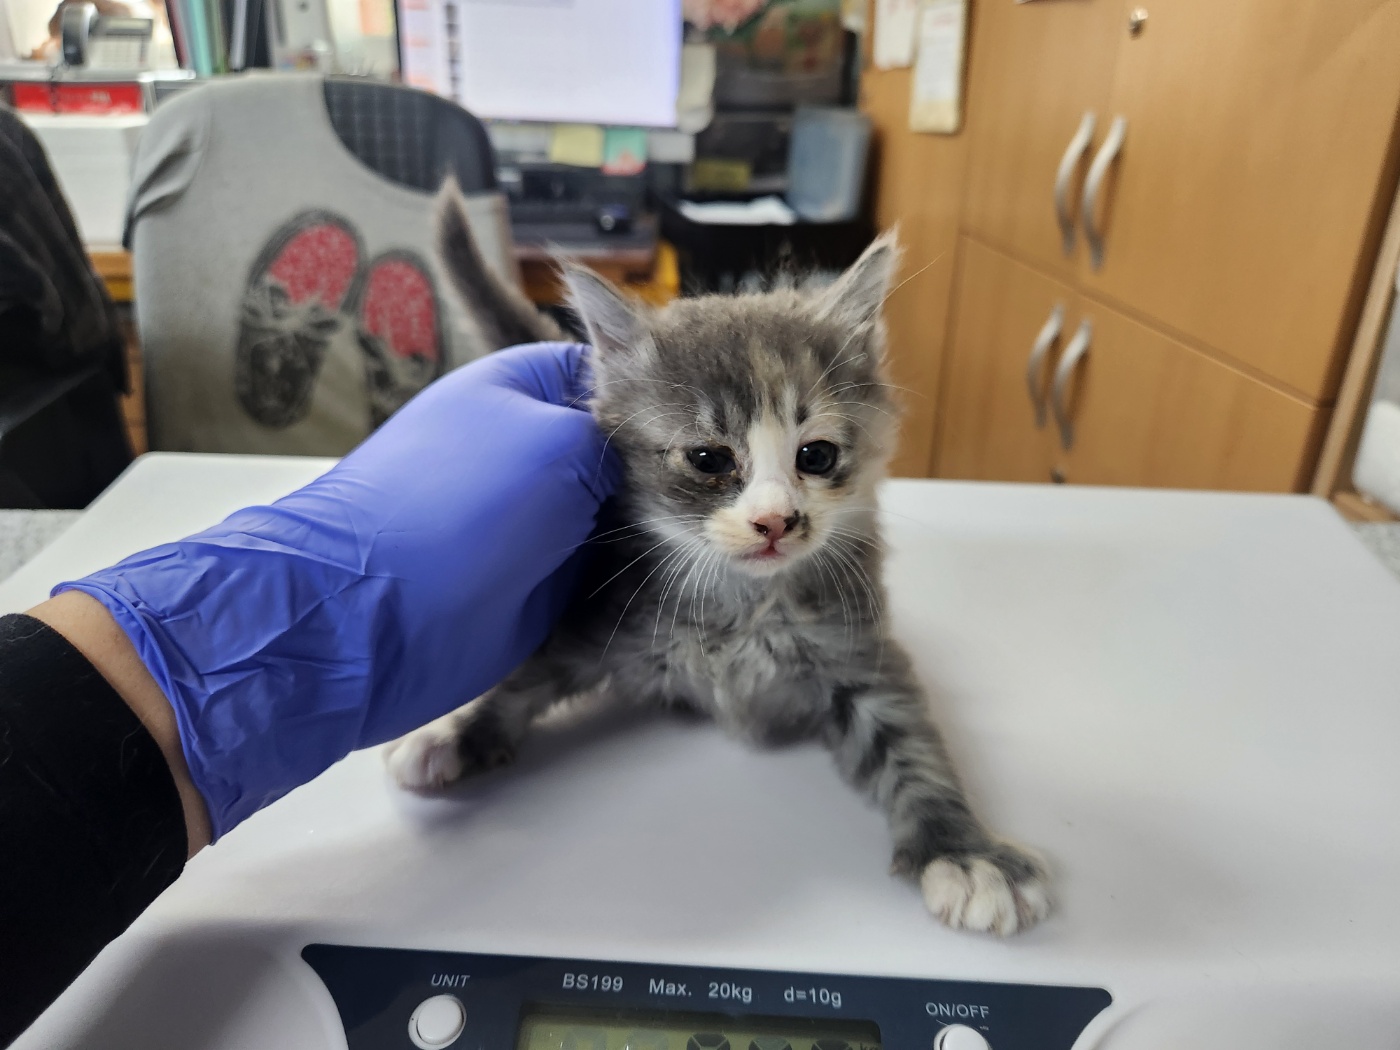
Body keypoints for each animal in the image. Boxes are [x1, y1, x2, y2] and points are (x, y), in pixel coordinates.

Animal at [389, 196, 1047, 935]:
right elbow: (525, 676)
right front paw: (452, 730)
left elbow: (913, 745)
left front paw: (966, 854)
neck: (743, 608)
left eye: (816, 455)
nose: (774, 521)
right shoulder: (603, 616)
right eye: (709, 459)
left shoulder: (862, 651)